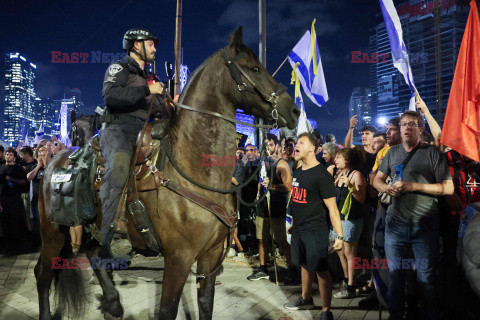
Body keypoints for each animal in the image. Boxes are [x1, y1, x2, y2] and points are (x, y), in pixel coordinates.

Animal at [35, 27, 300, 320]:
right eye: (254, 68)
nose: (294, 110)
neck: (195, 172)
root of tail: (54, 162)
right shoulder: (179, 258)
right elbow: (168, 309)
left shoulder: (210, 256)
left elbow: (205, 304)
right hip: (53, 231)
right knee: (44, 273)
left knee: (95, 255)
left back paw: (114, 303)